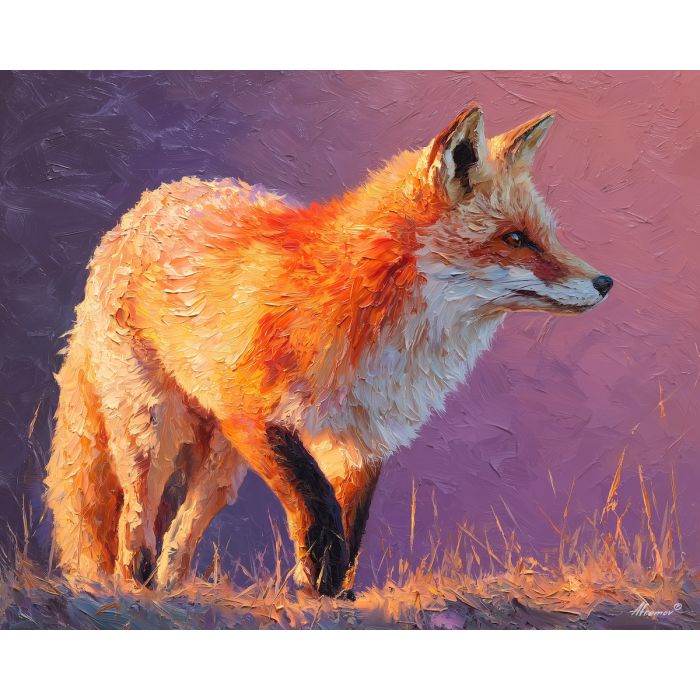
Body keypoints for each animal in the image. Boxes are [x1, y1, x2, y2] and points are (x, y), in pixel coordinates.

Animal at [45, 103, 613, 598]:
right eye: (515, 239)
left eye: (547, 235)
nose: (605, 283)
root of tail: (147, 204)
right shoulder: (256, 415)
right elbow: (315, 505)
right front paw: (318, 580)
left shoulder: (362, 438)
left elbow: (349, 524)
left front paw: (329, 594)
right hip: (154, 430)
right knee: (134, 520)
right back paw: (134, 586)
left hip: (222, 462)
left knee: (183, 528)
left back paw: (174, 587)